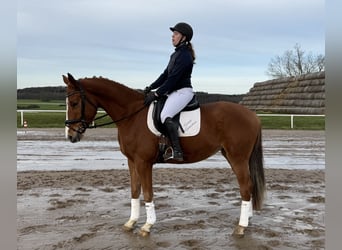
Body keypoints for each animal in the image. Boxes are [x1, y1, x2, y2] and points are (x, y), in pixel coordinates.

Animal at [62, 72, 264, 236]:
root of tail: (252, 115)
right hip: (232, 156)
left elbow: (148, 193)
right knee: (249, 185)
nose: (70, 136)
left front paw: (147, 226)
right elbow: (135, 191)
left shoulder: (143, 162)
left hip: (237, 158)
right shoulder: (132, 162)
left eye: (74, 103)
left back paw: (241, 227)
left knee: (245, 186)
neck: (131, 115)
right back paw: (248, 219)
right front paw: (131, 222)